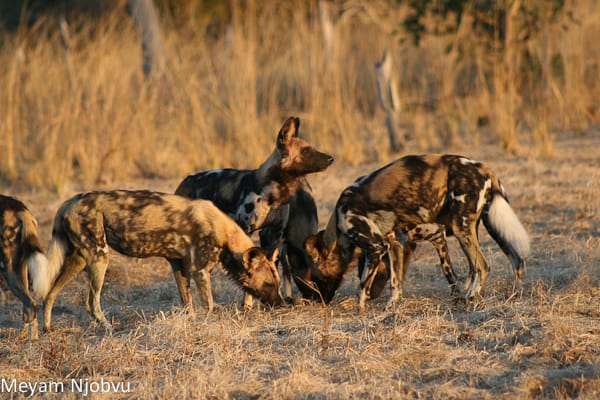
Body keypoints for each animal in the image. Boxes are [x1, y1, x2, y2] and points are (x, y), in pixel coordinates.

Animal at [0, 195, 50, 340]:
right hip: (21, 268)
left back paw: (29, 341)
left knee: (30, 304)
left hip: (8, 269)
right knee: (29, 306)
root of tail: (19, 208)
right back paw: (27, 337)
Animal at [42, 190, 283, 332]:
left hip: (79, 260)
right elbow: (210, 305)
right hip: (99, 257)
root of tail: (67, 203)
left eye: (278, 284)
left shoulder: (178, 266)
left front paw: (191, 324)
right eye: (268, 284)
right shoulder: (200, 271)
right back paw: (108, 328)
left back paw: (46, 329)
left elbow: (188, 303)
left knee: (49, 294)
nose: (282, 303)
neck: (226, 234)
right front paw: (209, 323)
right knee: (91, 302)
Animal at [304, 154, 531, 310]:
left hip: (461, 227)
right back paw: (515, 294)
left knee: (482, 266)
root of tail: (484, 168)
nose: (320, 300)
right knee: (516, 260)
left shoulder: (377, 246)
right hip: (489, 224)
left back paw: (470, 298)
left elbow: (363, 284)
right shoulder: (394, 244)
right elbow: (395, 282)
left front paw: (359, 307)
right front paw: (391, 306)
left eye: (316, 278)